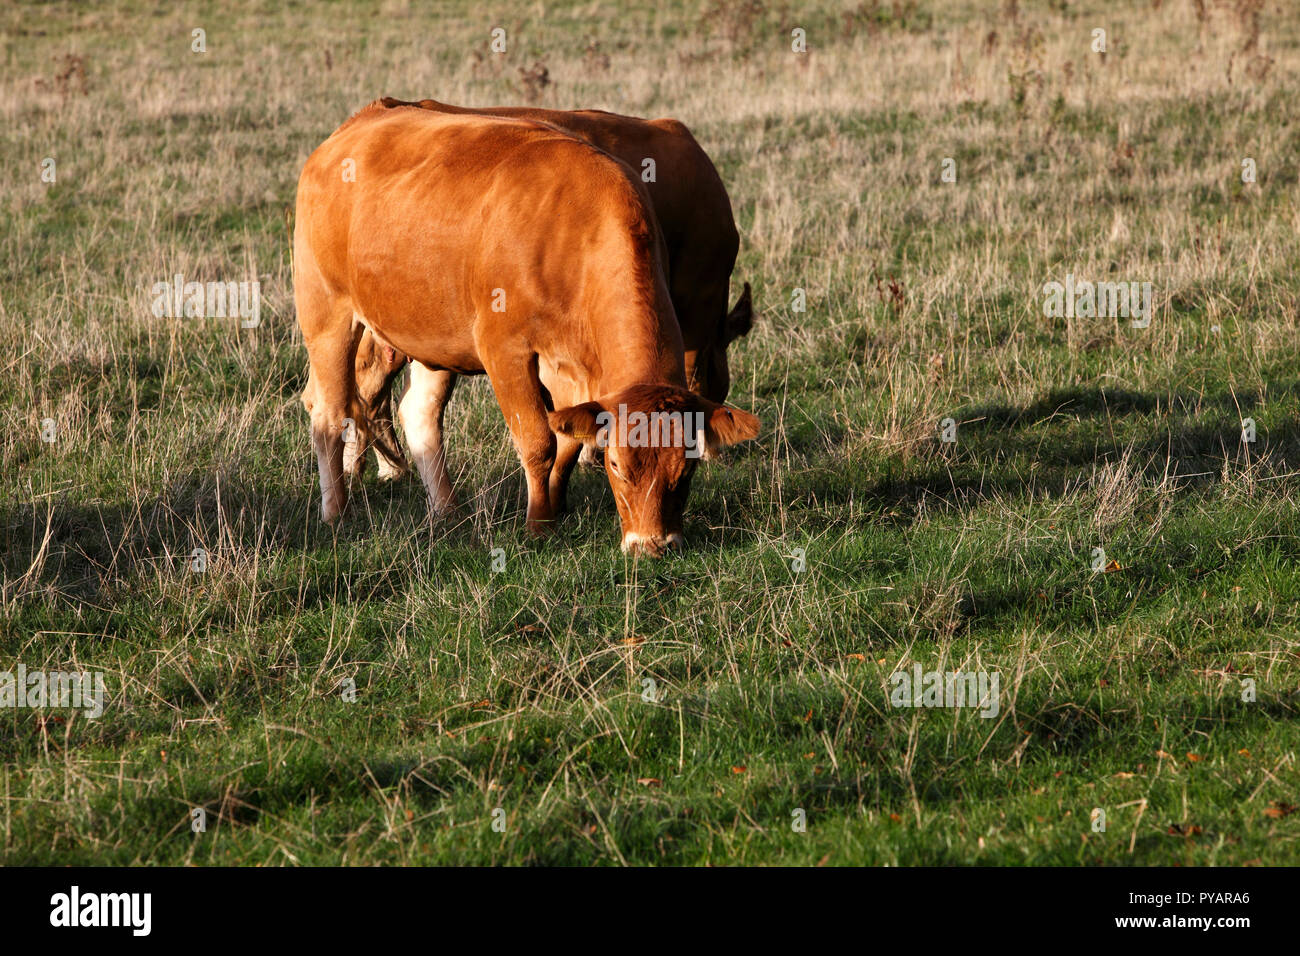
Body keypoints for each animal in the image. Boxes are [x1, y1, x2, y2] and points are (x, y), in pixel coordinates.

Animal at [295, 100, 759, 554]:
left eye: (685, 471)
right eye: (616, 465)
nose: (652, 544)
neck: (576, 233)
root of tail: (365, 117)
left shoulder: (569, 369)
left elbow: (567, 440)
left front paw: (554, 506)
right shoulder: (506, 350)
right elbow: (539, 442)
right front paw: (538, 527)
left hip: (430, 335)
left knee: (418, 413)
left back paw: (448, 512)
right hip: (328, 315)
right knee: (332, 411)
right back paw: (337, 512)